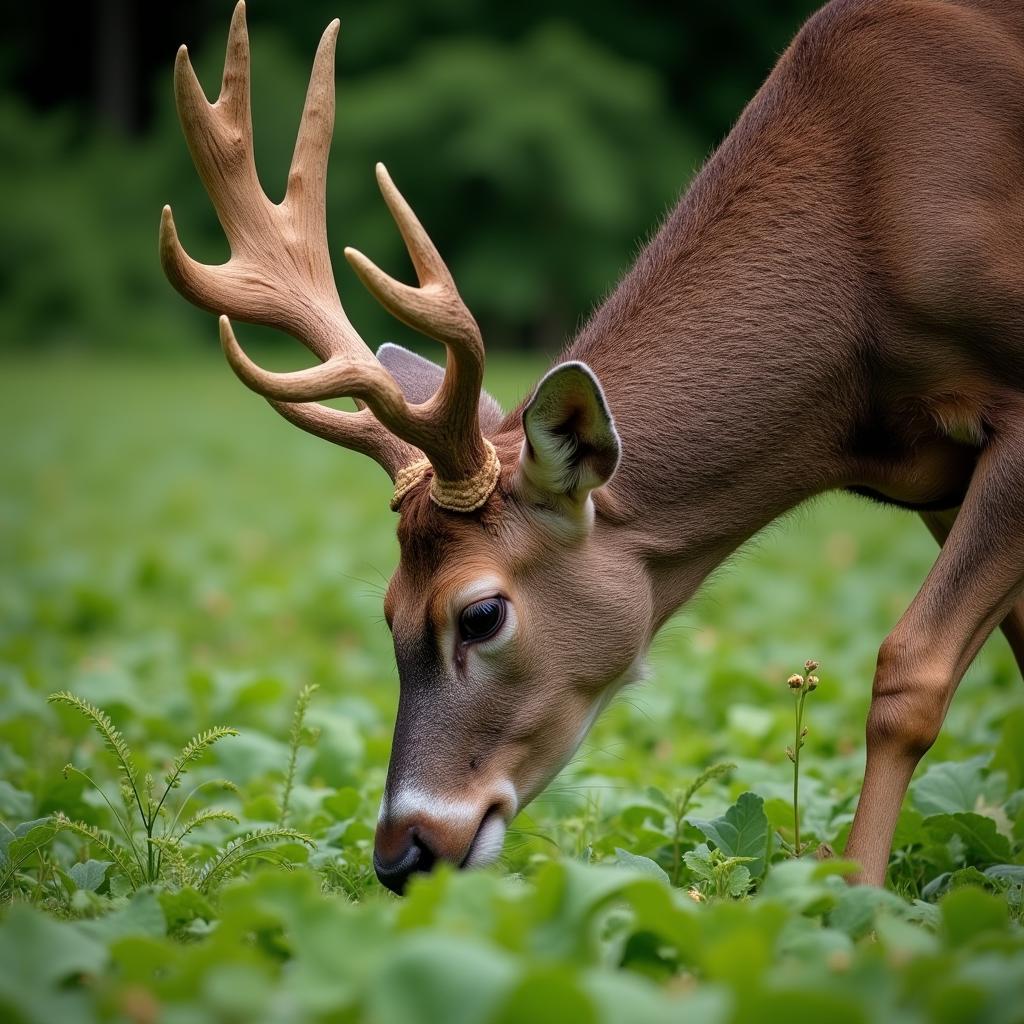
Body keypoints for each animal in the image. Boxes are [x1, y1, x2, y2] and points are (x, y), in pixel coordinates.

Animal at [159, 0, 1024, 892]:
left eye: (480, 614)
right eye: (387, 610)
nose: (402, 853)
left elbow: (909, 674)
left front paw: (856, 897)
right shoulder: (937, 478)